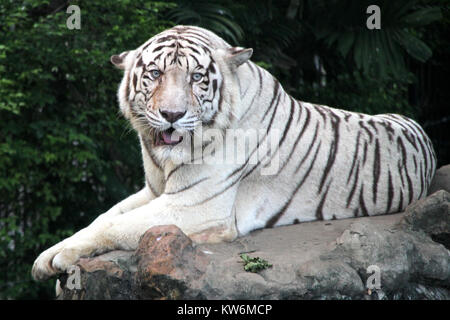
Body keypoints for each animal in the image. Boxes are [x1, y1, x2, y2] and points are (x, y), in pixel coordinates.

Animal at [32, 25, 436, 280]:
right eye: (155, 74)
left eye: (196, 78)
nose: (172, 115)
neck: (163, 161)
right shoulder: (153, 190)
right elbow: (102, 217)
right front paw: (51, 256)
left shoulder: (196, 205)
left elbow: (114, 225)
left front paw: (53, 259)